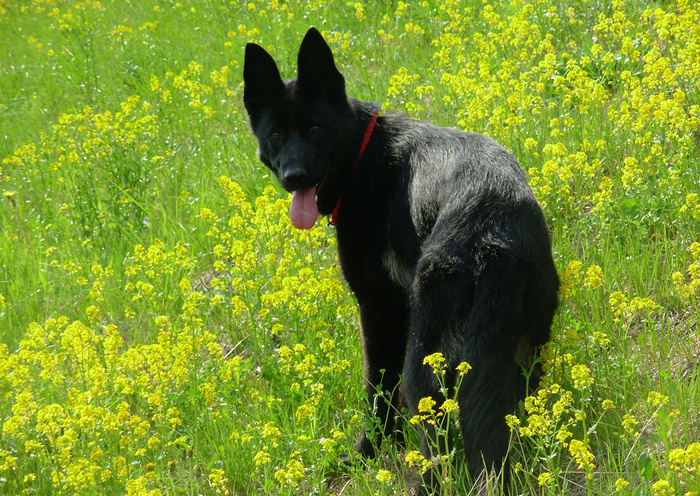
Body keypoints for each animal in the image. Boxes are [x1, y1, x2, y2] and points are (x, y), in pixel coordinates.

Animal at [243, 27, 559, 494]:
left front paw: (367, 453)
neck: (362, 153)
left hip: (425, 362)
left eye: (315, 128)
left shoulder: (378, 307)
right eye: (277, 135)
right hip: (519, 352)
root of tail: (491, 237)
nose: (294, 178)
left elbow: (378, 389)